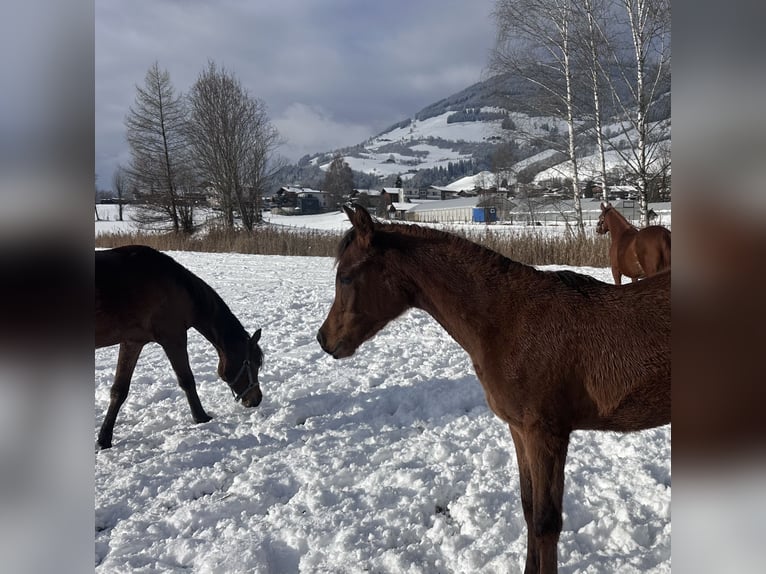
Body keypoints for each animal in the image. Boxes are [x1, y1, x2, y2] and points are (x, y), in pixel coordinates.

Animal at [96, 245, 266, 452]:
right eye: (254, 363)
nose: (256, 399)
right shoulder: (173, 337)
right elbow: (187, 380)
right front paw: (201, 417)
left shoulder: (132, 341)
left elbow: (119, 390)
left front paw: (104, 439)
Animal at [318, 207, 672, 574]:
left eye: (346, 277)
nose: (324, 339)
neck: (510, 321)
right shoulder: (520, 431)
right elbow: (529, 511)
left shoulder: (545, 434)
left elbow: (547, 523)